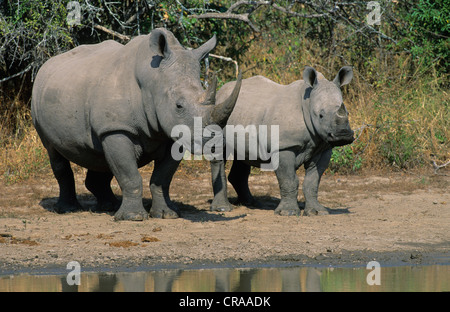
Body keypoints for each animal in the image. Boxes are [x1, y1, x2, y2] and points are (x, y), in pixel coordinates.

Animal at [31, 28, 243, 221]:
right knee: (54, 152)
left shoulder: (173, 132)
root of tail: (46, 65)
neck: (153, 80)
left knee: (98, 156)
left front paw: (166, 214)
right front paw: (133, 217)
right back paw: (68, 210)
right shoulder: (117, 128)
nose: (215, 144)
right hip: (39, 101)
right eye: (179, 105)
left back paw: (109, 206)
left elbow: (162, 178)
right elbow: (130, 175)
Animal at [211, 67, 356, 216]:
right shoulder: (284, 146)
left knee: (243, 155)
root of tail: (220, 91)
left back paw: (250, 203)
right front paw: (288, 212)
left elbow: (313, 181)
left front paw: (317, 212)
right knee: (219, 152)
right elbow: (289, 179)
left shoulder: (323, 147)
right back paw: (222, 208)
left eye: (348, 113)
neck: (308, 103)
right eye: (321, 115)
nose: (343, 135)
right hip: (218, 113)